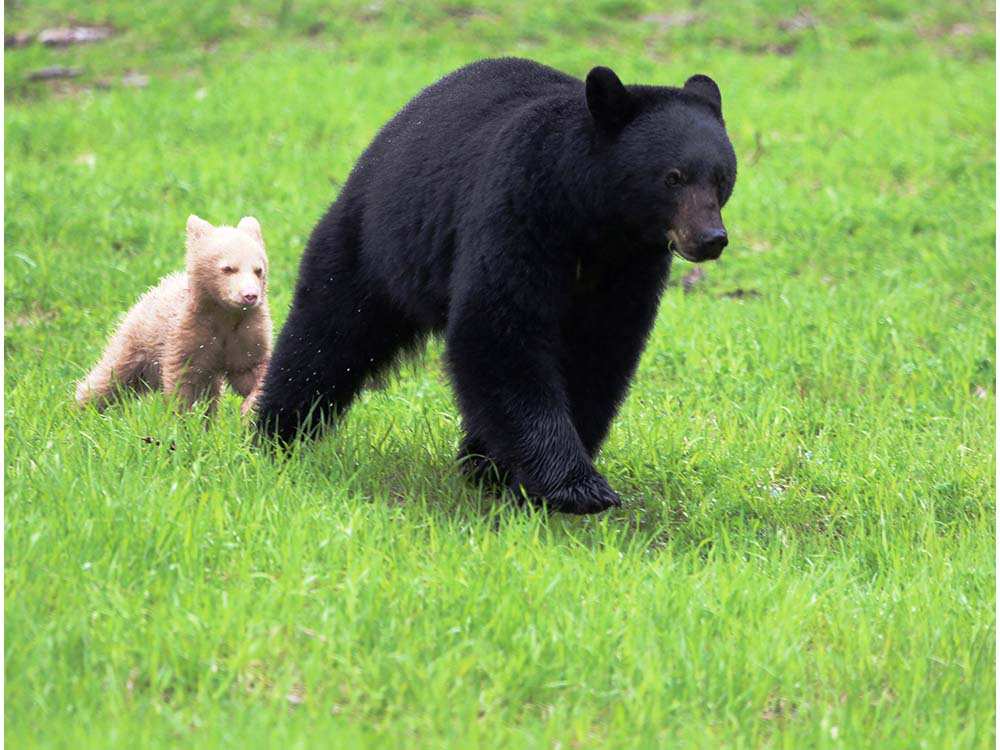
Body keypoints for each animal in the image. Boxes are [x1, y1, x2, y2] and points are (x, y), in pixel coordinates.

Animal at [258, 57, 736, 516]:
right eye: (673, 177)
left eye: (721, 178)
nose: (710, 238)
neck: (595, 222)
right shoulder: (519, 209)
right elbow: (499, 328)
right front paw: (574, 486)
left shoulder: (632, 264)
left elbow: (600, 349)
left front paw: (522, 472)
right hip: (378, 244)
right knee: (328, 334)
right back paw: (276, 432)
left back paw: (478, 461)